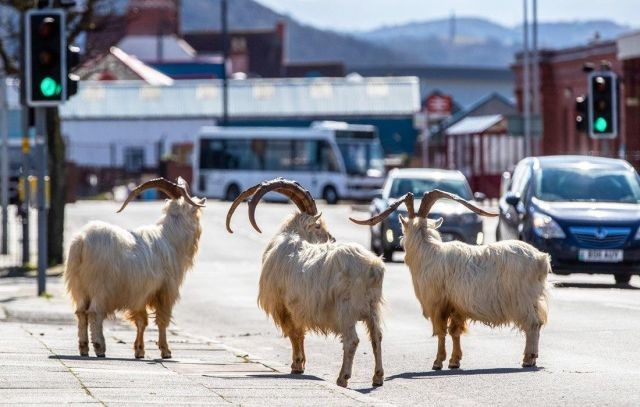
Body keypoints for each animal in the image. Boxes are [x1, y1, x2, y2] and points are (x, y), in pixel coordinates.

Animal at [65, 178, 205, 360]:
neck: (170, 238)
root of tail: (81, 241)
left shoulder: (140, 293)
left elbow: (141, 321)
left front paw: (139, 350)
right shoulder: (165, 290)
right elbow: (162, 320)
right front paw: (165, 351)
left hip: (79, 287)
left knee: (81, 312)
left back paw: (83, 348)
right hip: (100, 287)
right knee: (95, 313)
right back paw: (100, 347)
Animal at [226, 179, 384, 388]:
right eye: (317, 226)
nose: (332, 239)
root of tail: (372, 267)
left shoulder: (284, 307)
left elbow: (294, 334)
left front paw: (297, 365)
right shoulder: (298, 308)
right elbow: (299, 333)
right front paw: (300, 364)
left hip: (346, 310)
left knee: (351, 340)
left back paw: (342, 378)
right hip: (372, 308)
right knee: (376, 336)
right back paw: (378, 377)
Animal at [352, 191, 548, 370]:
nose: (401, 241)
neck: (428, 252)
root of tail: (540, 259)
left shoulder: (437, 304)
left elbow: (440, 331)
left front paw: (438, 362)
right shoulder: (456, 306)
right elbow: (455, 332)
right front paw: (454, 361)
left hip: (521, 299)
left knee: (533, 324)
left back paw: (528, 358)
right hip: (533, 300)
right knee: (538, 323)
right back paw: (532, 358)